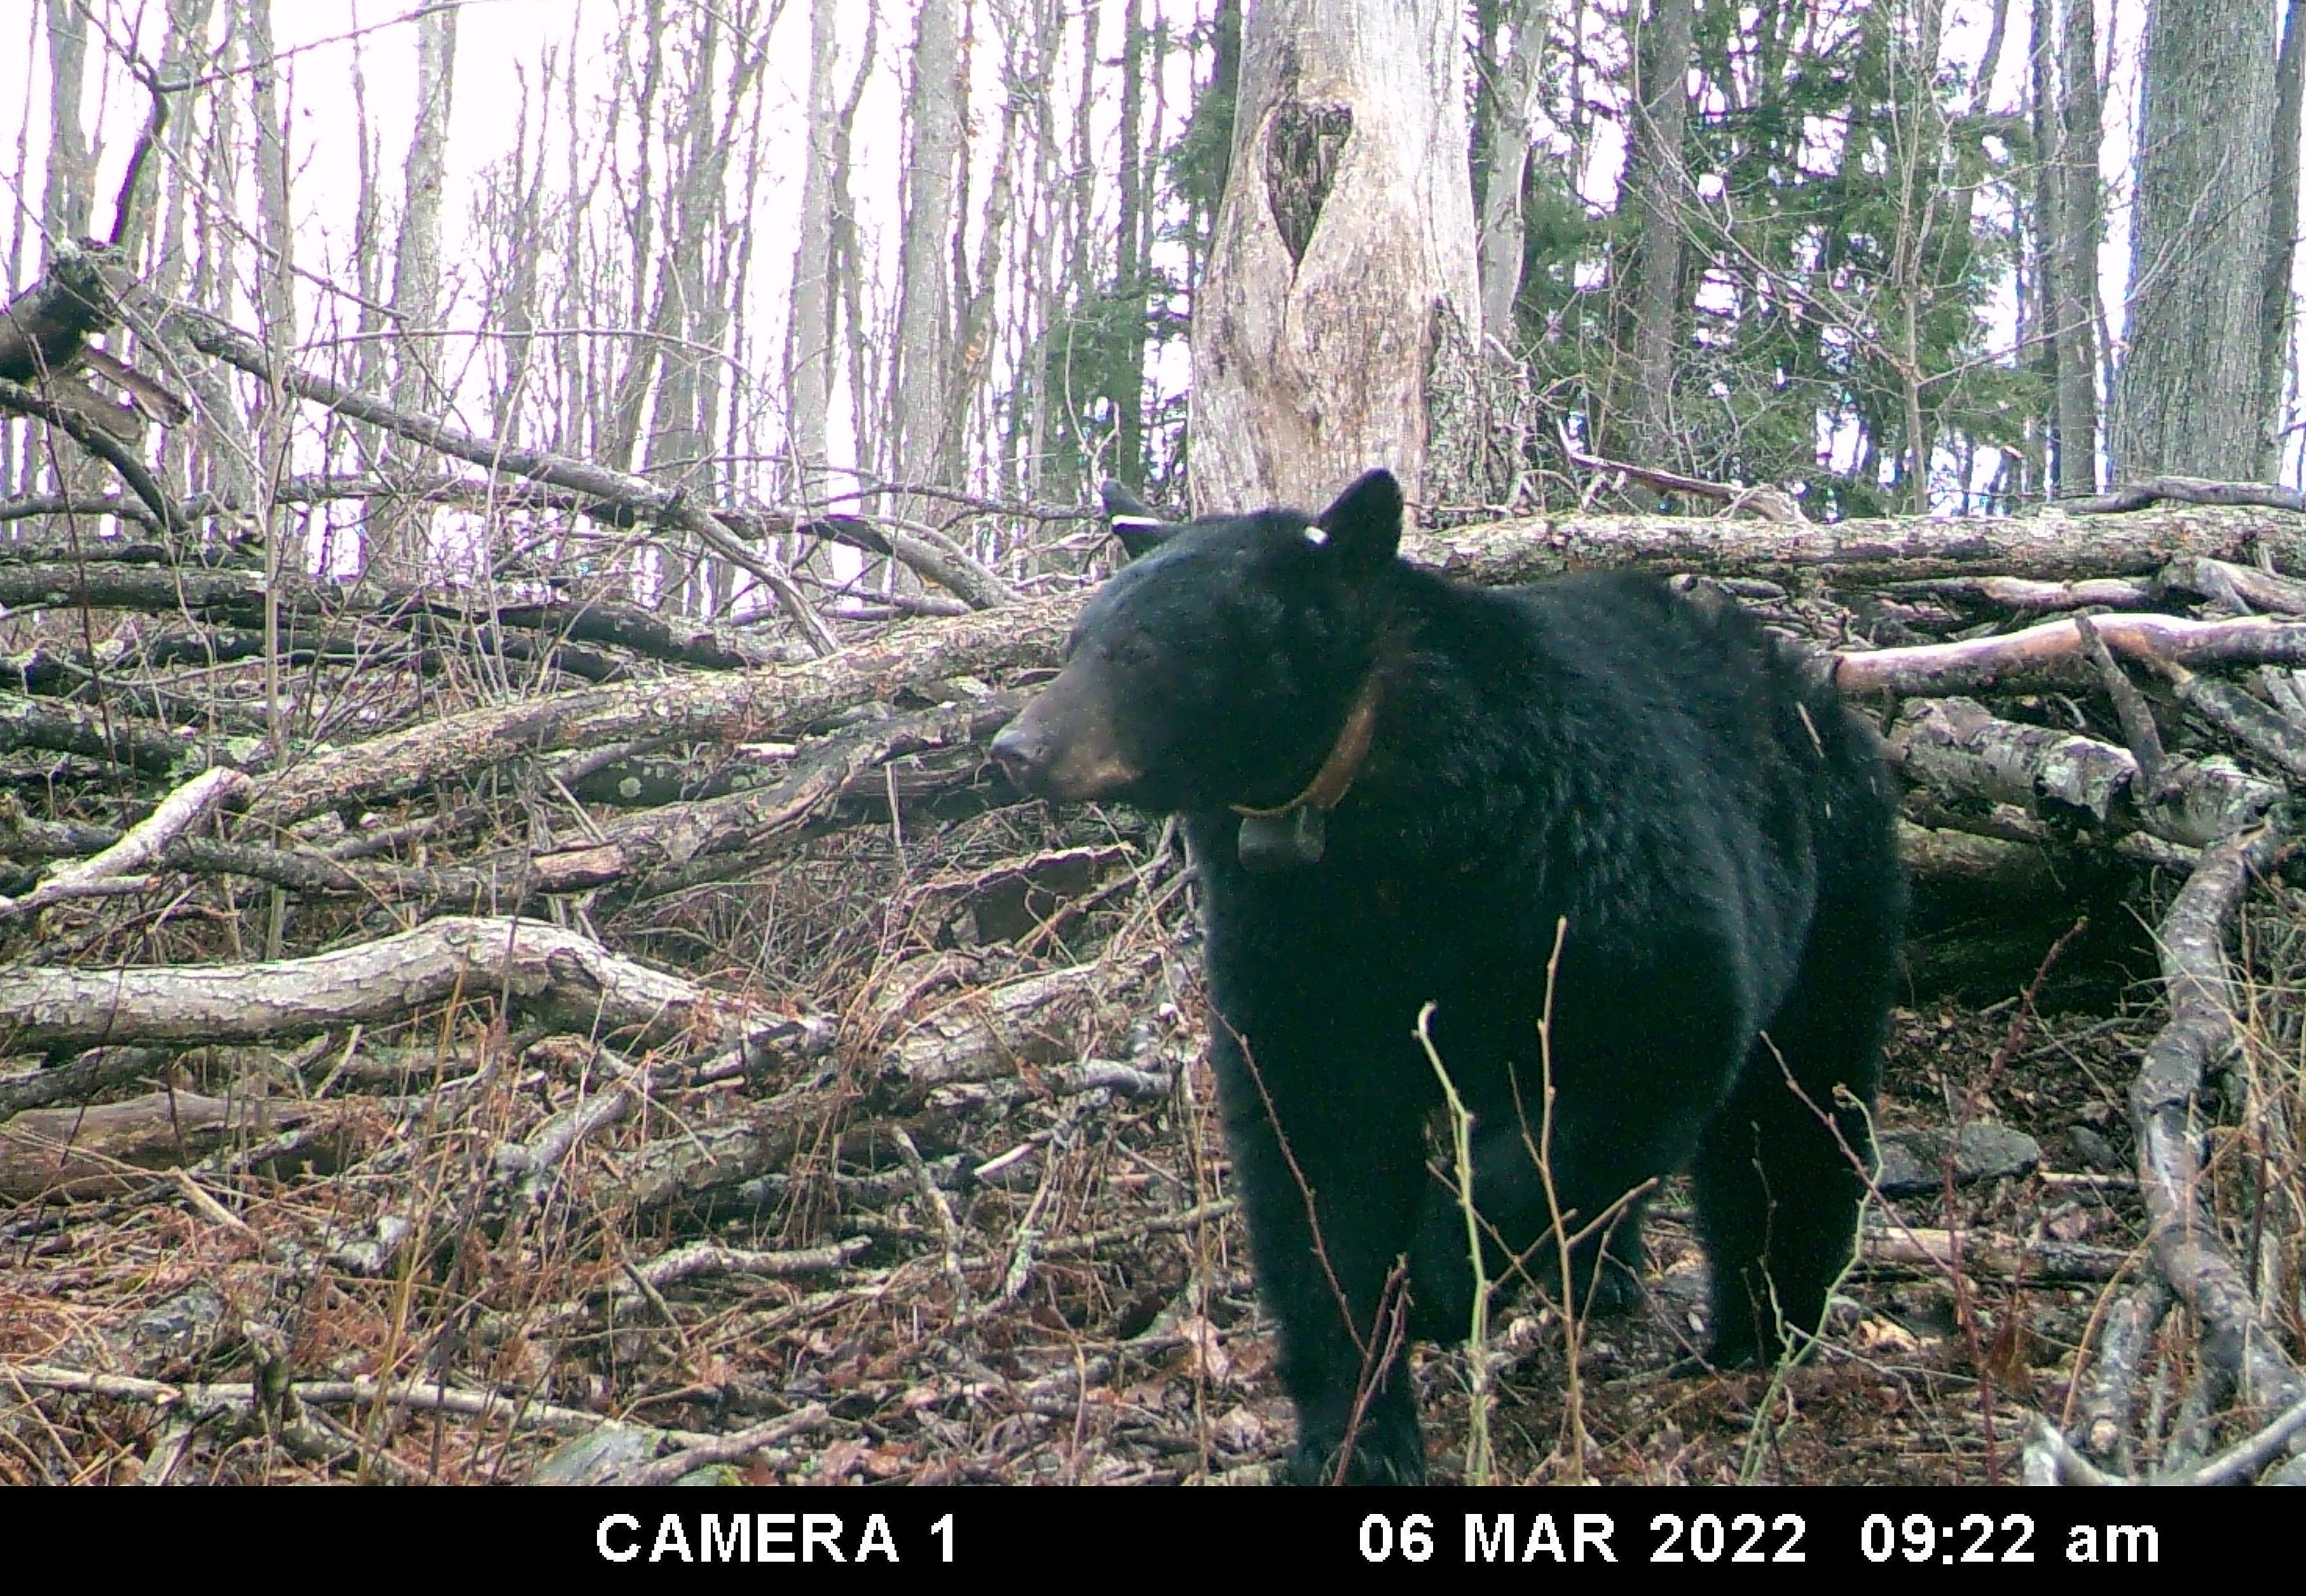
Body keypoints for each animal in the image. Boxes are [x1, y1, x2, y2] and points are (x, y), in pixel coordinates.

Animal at [991, 470, 1909, 1485]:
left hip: (1833, 877)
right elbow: (1318, 1156)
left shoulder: (1585, 854)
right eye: (1076, 641)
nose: (1015, 748)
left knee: (1794, 1113)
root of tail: (1809, 676)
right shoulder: (1293, 932)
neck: (1381, 813)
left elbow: (1647, 1035)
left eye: (1140, 649)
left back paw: (1762, 1329)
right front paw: (1354, 1431)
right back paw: (1607, 1282)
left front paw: (1441, 1275)